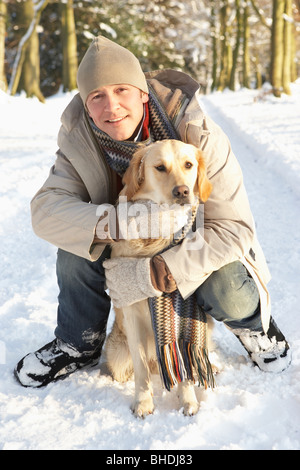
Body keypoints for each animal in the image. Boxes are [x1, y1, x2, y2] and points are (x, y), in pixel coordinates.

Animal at [104, 138, 214, 416]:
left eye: (188, 165)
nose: (182, 192)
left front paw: (188, 400)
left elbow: (185, 362)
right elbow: (141, 367)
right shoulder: (131, 312)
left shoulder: (183, 310)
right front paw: (143, 401)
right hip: (117, 352)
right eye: (160, 167)